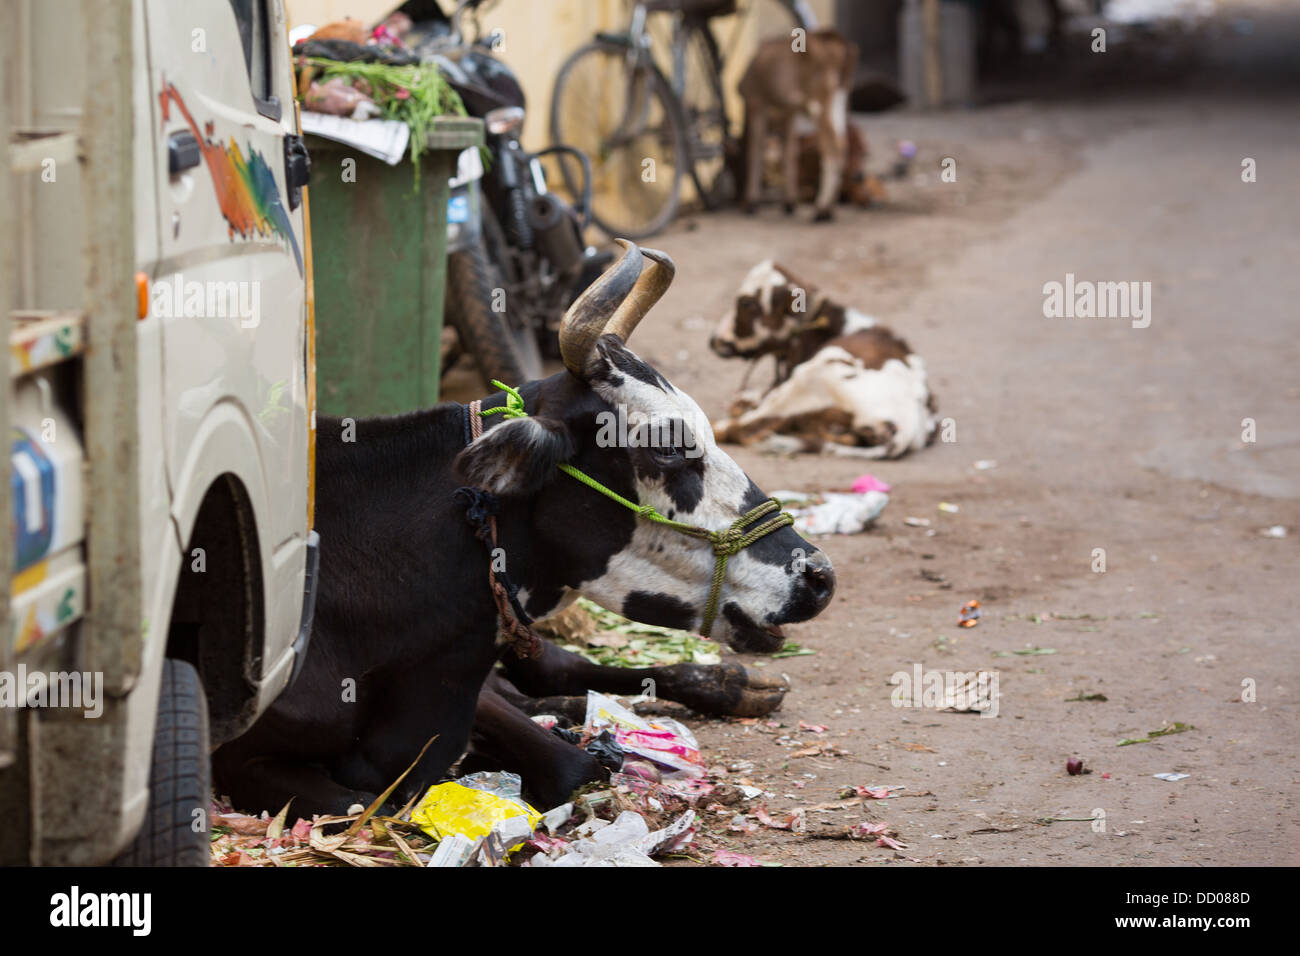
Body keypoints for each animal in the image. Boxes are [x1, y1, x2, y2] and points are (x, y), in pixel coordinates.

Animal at [214, 240, 837, 816]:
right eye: (666, 446)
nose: (819, 575)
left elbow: (572, 760)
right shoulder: (240, 757)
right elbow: (372, 804)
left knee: (560, 674)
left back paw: (738, 684)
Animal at [738, 27, 857, 222]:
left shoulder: (756, 102)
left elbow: (755, 150)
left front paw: (751, 202)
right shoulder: (789, 112)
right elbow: (789, 152)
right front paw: (789, 202)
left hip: (820, 98)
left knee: (832, 148)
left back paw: (821, 209)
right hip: (840, 96)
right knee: (842, 144)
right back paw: (829, 209)